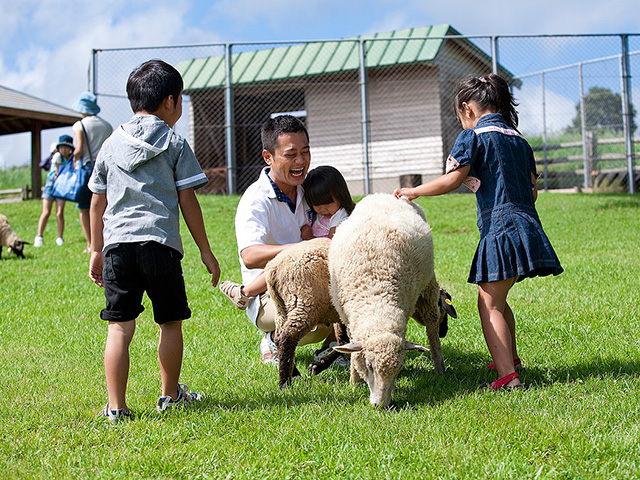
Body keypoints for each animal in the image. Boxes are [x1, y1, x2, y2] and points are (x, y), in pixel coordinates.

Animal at [262, 238, 348, 388]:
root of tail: (274, 269)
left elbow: (344, 341)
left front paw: (317, 366)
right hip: (304, 303)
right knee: (287, 337)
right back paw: (285, 384)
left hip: (281, 308)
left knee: (278, 338)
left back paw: (295, 374)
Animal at [330, 193, 456, 406]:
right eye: (369, 365)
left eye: (398, 369)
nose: (381, 406)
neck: (376, 298)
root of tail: (384, 195)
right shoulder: (347, 318)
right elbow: (353, 351)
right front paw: (354, 382)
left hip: (428, 284)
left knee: (432, 325)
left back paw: (439, 367)